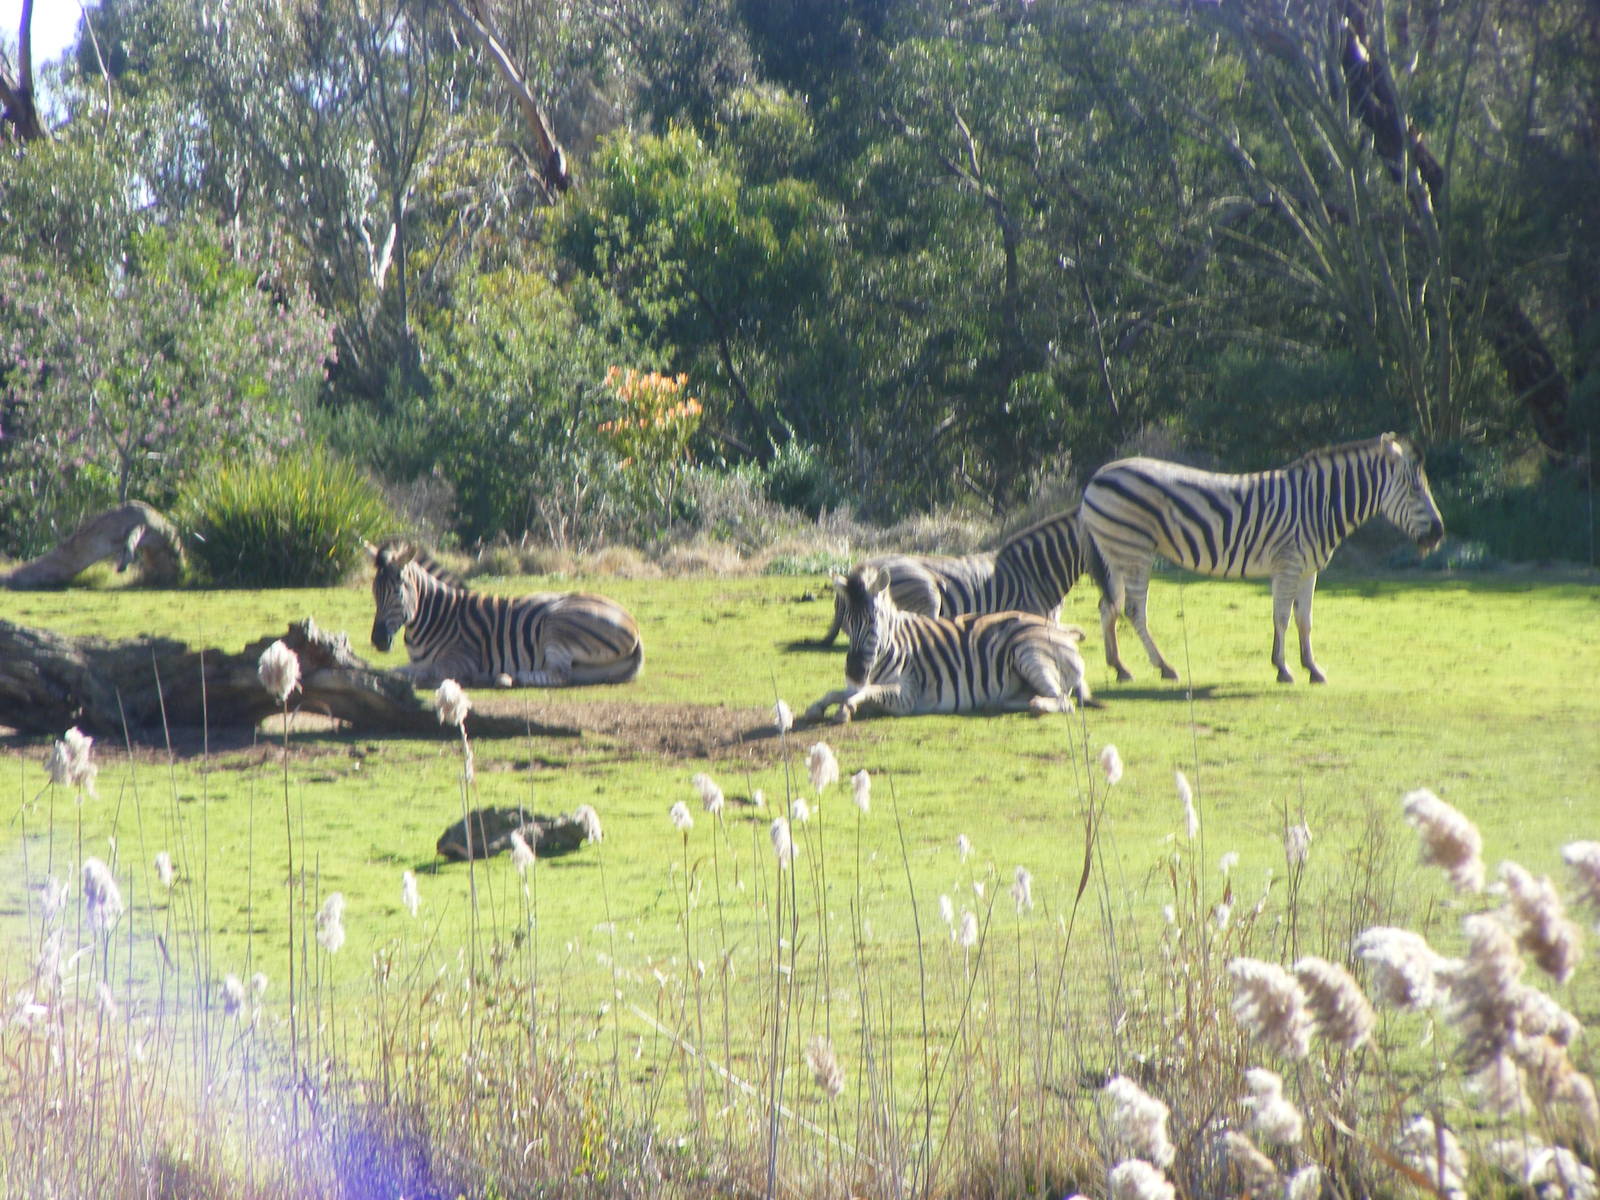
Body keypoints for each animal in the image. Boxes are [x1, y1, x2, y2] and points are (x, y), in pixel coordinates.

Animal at [368, 540, 643, 688]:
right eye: (373, 591)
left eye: (397, 592)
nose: (378, 640)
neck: (434, 617)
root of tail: (633, 622)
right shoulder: (415, 663)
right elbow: (392, 670)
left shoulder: (461, 660)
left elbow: (425, 674)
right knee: (569, 674)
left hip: (556, 625)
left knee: (560, 675)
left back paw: (506, 677)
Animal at [804, 564, 1092, 723]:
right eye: (847, 623)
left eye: (874, 621)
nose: (854, 672)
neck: (891, 645)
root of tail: (1065, 634)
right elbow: (838, 691)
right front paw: (816, 706)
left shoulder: (906, 695)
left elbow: (864, 693)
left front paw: (845, 709)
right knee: (1036, 696)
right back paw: (994, 702)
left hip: (1030, 653)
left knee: (1062, 701)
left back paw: (1036, 705)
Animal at [1080, 433, 1444, 685]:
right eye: (1415, 489)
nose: (1440, 533)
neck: (1320, 504)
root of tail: (1097, 476)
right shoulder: (1288, 564)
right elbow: (1281, 617)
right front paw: (1283, 669)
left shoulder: (1308, 570)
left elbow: (1304, 620)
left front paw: (1313, 668)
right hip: (1135, 552)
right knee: (1132, 609)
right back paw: (1164, 667)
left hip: (1116, 553)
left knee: (1108, 607)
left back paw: (1120, 667)